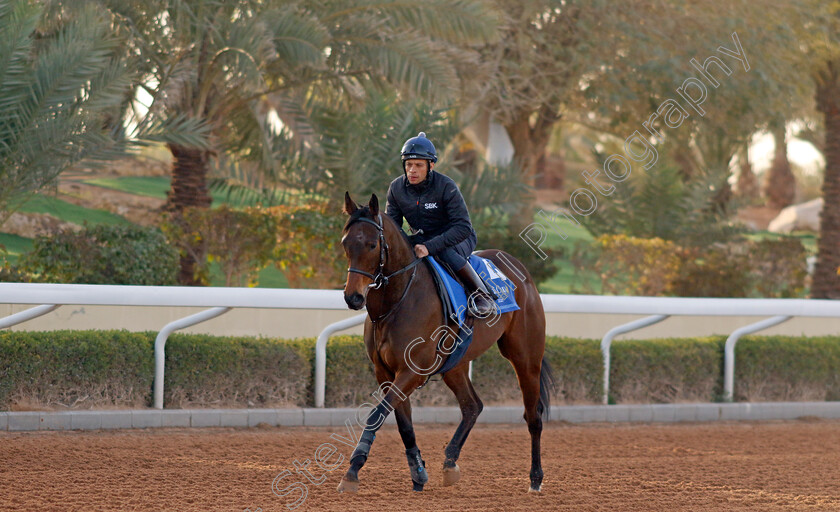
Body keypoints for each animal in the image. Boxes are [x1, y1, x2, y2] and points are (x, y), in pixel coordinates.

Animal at [338, 191, 556, 492]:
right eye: (346, 243)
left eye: (372, 244)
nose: (353, 297)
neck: (397, 301)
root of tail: (522, 273)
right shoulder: (386, 372)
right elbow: (402, 423)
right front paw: (418, 473)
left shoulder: (412, 371)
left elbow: (377, 414)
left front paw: (353, 469)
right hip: (455, 364)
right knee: (472, 406)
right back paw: (450, 462)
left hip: (526, 358)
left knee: (533, 416)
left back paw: (535, 478)